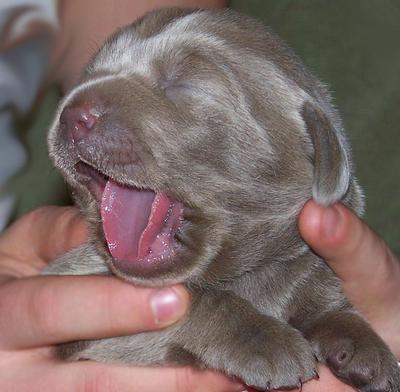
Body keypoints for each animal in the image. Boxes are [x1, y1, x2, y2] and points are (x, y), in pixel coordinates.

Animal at [44, 6, 400, 392]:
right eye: (90, 74)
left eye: (182, 83)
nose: (72, 114)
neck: (246, 274)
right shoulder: (80, 309)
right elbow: (202, 301)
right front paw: (267, 341)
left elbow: (324, 299)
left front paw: (364, 344)